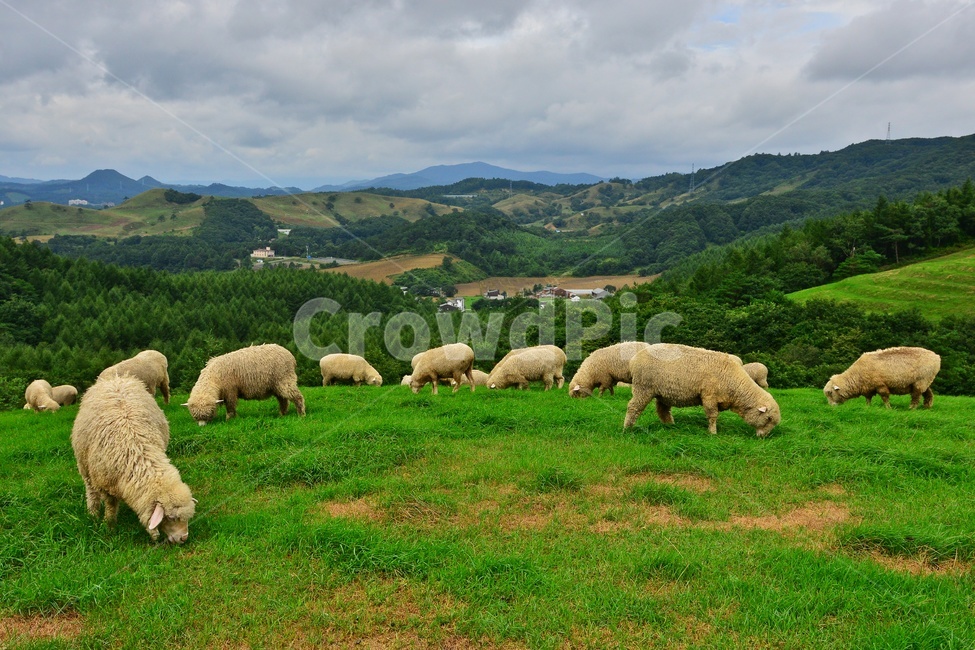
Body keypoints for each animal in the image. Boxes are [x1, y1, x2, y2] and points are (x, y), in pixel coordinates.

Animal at [71, 375, 196, 543]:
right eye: (170, 517)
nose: (184, 538)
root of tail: (116, 378)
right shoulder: (105, 483)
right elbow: (110, 506)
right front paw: (109, 524)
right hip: (84, 466)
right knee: (91, 490)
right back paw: (93, 513)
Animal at [624, 343, 781, 437]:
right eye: (768, 419)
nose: (763, 437)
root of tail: (635, 358)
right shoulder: (709, 395)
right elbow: (712, 415)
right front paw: (713, 433)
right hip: (643, 387)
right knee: (633, 407)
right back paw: (627, 428)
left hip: (662, 393)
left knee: (663, 410)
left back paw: (670, 426)